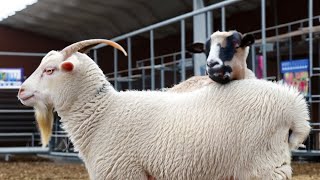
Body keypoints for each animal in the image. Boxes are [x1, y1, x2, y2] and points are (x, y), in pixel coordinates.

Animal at [17, 39, 310, 180]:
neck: (103, 114)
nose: (20, 91)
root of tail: (295, 106)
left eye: (49, 70)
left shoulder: (124, 172)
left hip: (263, 167)